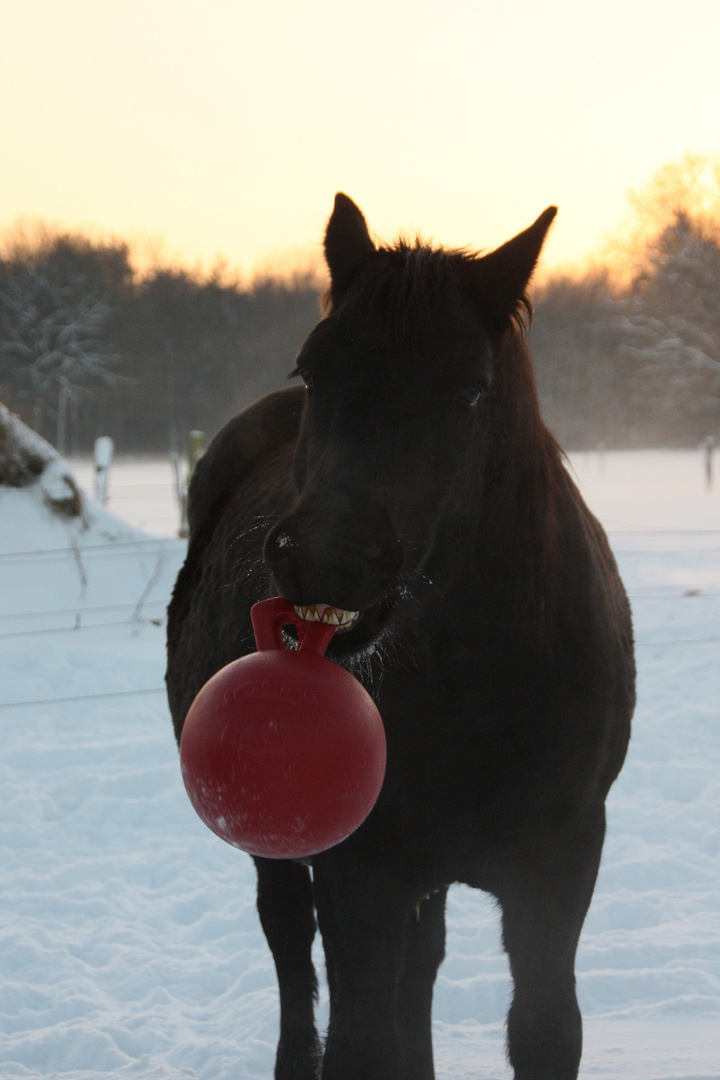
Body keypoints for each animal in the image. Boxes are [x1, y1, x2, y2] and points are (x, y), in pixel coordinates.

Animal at [166, 196, 634, 1080]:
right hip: (289, 855)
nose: (325, 560)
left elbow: (543, 1029)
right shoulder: (361, 873)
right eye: (312, 369)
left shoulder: (557, 869)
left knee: (420, 970)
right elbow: (359, 1039)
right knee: (292, 953)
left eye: (470, 391)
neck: (482, 687)